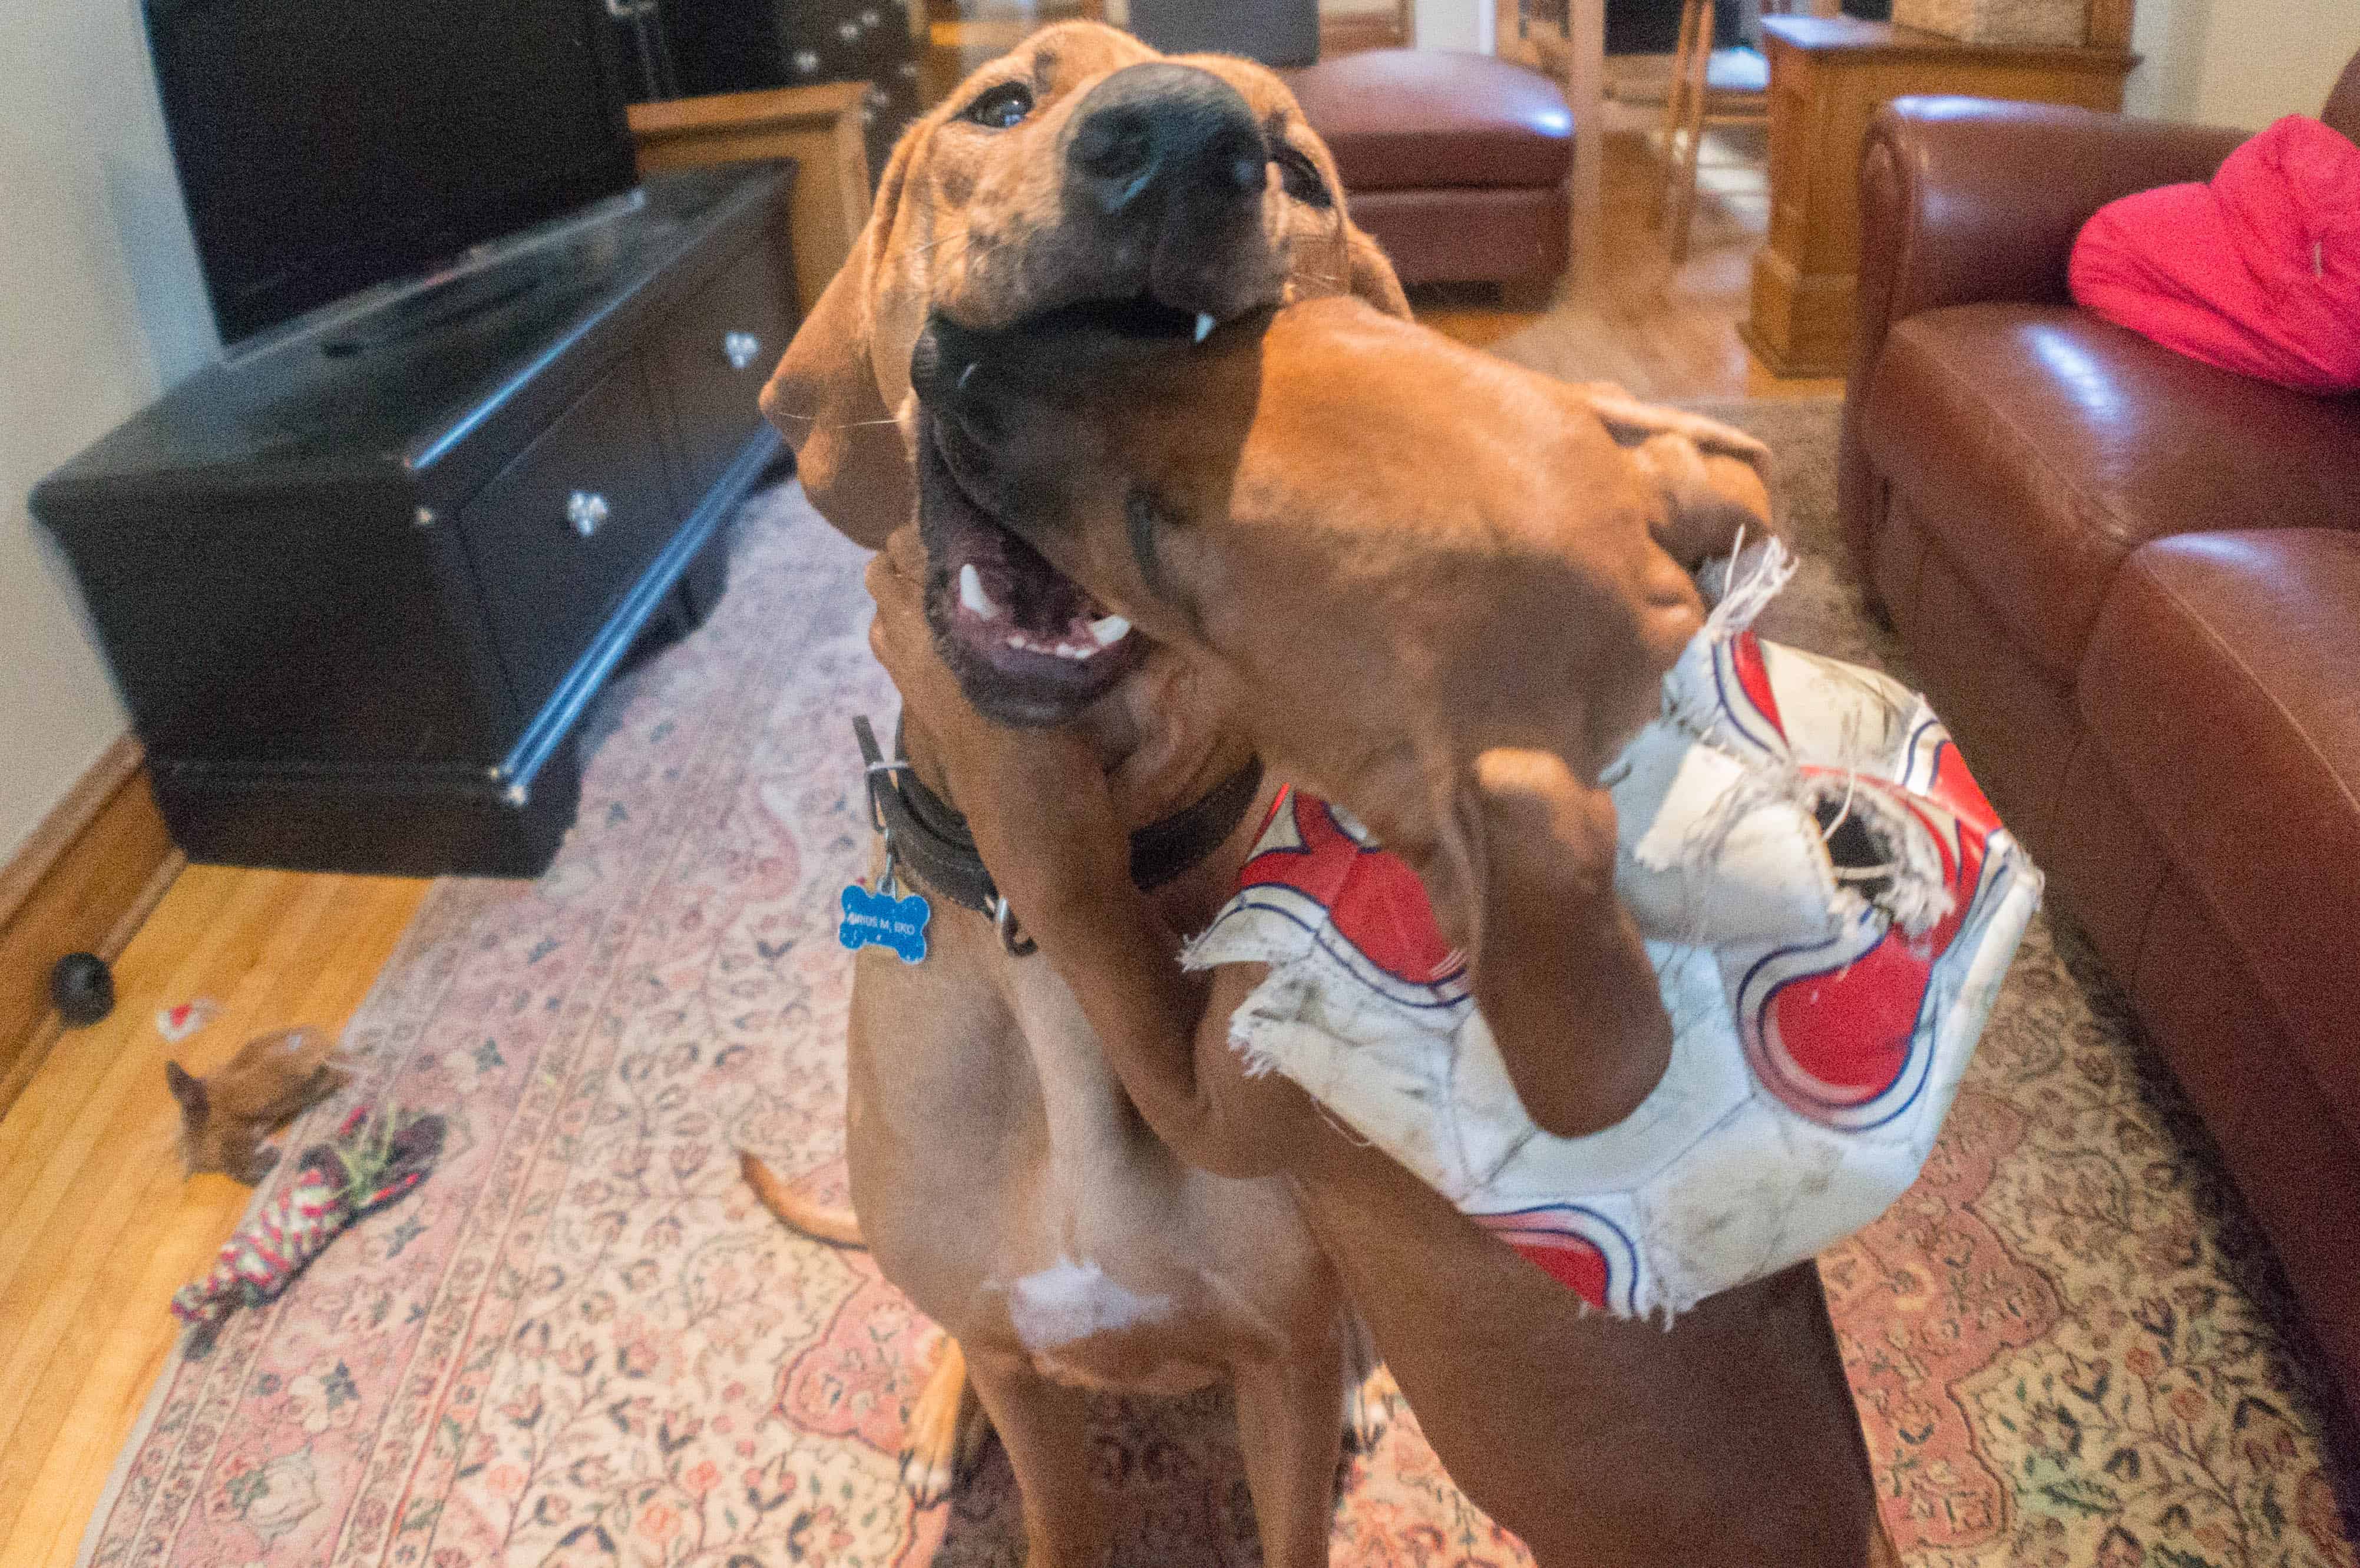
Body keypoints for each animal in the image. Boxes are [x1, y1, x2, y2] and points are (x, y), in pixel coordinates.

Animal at [878, 297, 1906, 1565]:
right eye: (1242, 328)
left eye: (1155, 533)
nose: (941, 355)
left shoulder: (1212, 1087)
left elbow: (1072, 881)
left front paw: (989, 740)